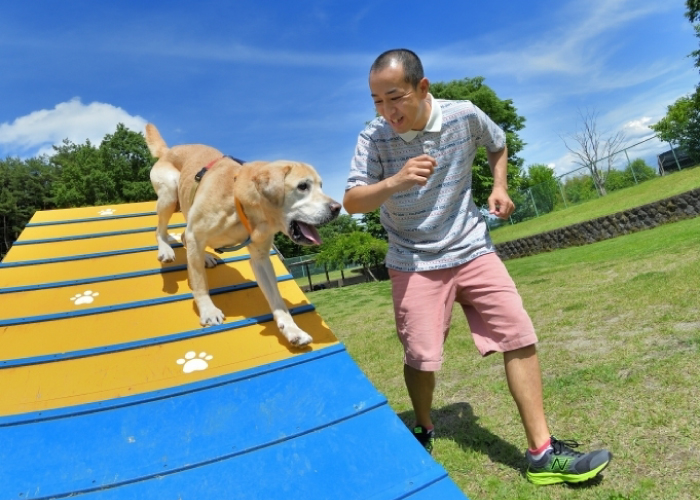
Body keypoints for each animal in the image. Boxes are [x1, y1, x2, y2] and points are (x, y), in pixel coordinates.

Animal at [146, 123, 342, 346]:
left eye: (321, 186)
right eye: (303, 186)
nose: (337, 208)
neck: (240, 201)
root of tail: (168, 150)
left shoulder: (260, 257)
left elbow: (276, 298)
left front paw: (292, 329)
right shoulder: (197, 235)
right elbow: (199, 281)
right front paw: (208, 311)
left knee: (183, 238)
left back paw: (204, 257)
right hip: (170, 193)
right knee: (161, 230)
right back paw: (166, 249)